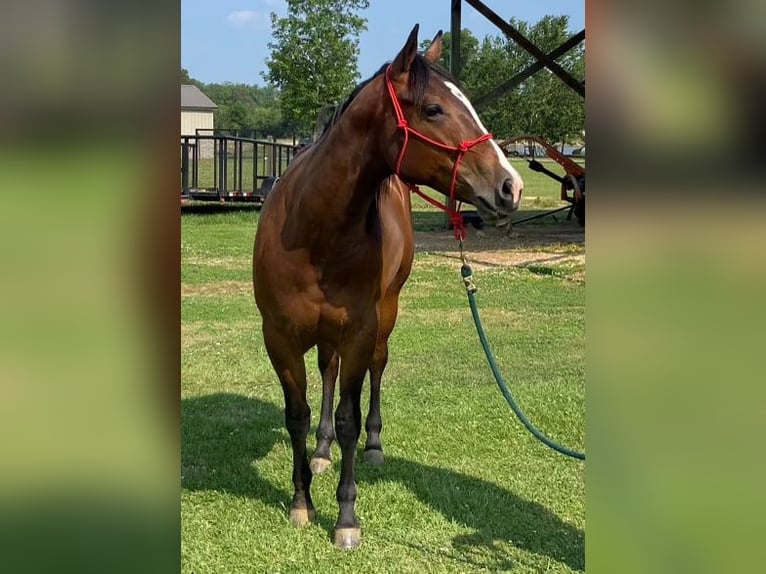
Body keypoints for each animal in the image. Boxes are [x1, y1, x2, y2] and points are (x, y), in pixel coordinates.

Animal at [253, 25, 523, 549]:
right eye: (434, 109)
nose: (510, 186)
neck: (313, 232)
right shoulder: (279, 336)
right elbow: (297, 414)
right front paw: (302, 500)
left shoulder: (359, 331)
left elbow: (350, 418)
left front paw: (346, 517)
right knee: (328, 371)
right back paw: (320, 450)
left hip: (386, 313)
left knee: (377, 369)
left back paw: (374, 446)